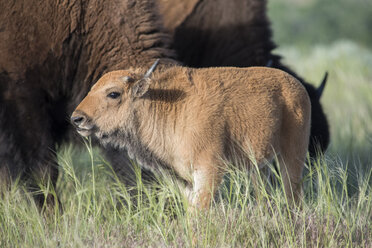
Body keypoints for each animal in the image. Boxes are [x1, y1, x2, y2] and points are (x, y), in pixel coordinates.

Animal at [70, 61, 310, 208]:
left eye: (113, 93)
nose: (77, 119)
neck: (164, 103)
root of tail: (297, 86)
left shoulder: (208, 170)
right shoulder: (182, 179)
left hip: (292, 156)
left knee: (293, 194)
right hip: (259, 167)